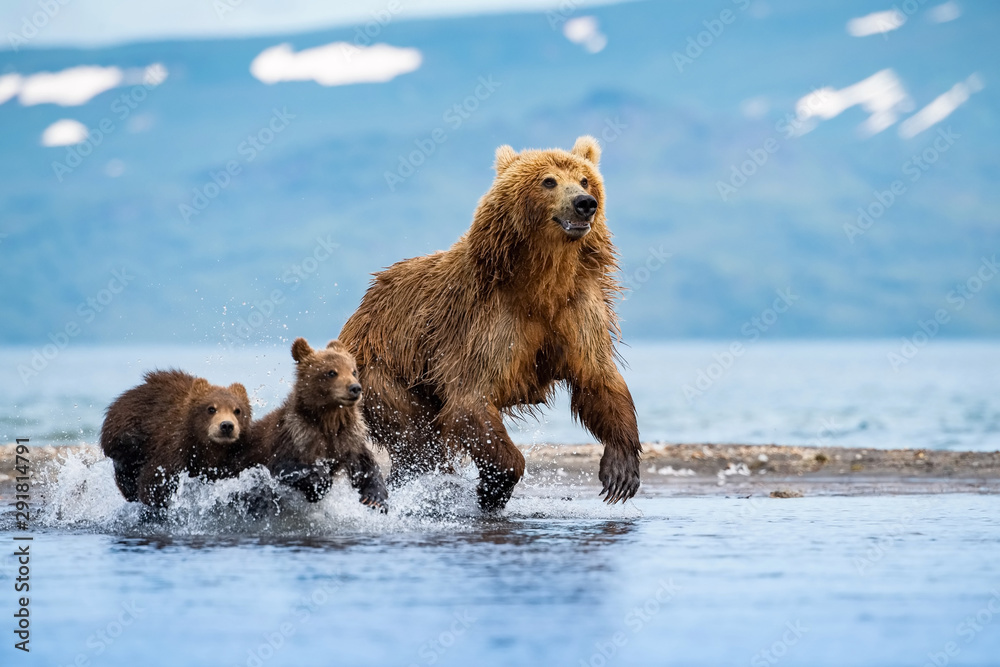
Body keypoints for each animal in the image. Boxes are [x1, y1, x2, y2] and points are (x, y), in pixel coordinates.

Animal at [100, 370, 252, 507]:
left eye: (237, 410)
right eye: (211, 409)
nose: (226, 425)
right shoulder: (175, 447)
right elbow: (155, 480)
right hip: (126, 437)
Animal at [240, 338, 388, 510]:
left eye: (353, 371)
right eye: (331, 372)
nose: (355, 388)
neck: (329, 421)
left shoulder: (349, 439)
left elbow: (366, 464)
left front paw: (375, 498)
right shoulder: (295, 435)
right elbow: (284, 466)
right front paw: (320, 482)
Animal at [339, 135, 642, 512]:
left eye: (585, 180)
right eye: (549, 181)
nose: (585, 203)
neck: (542, 281)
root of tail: (362, 309)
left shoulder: (577, 309)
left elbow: (598, 378)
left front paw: (621, 470)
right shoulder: (488, 322)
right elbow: (471, 399)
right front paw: (493, 486)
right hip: (383, 371)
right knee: (416, 437)